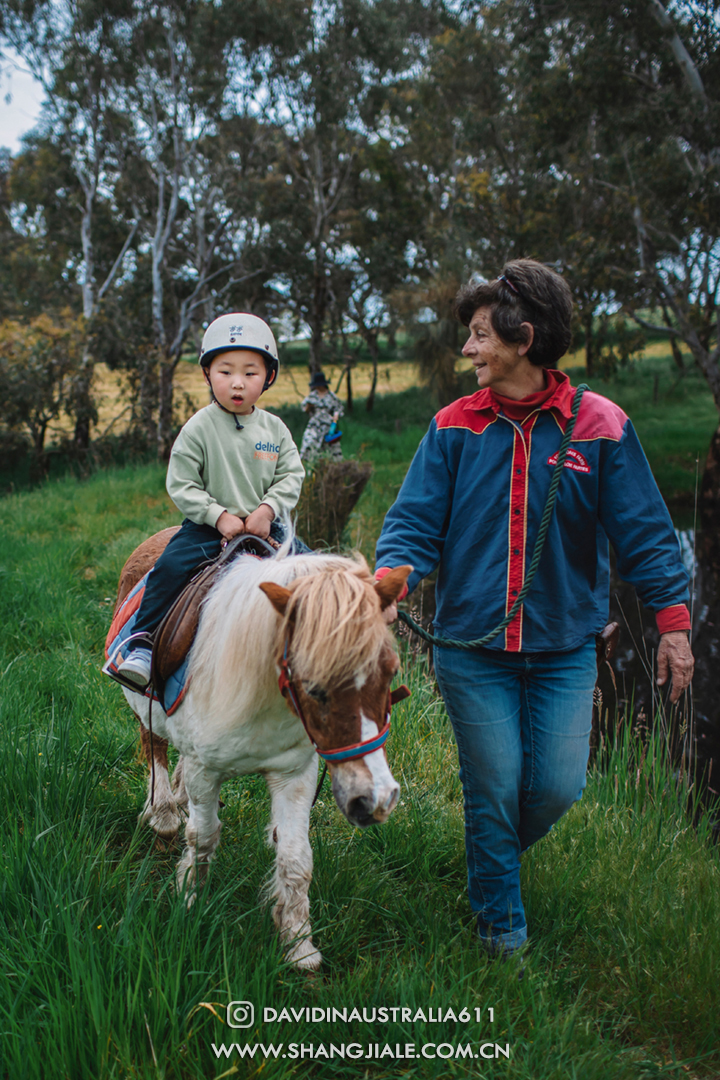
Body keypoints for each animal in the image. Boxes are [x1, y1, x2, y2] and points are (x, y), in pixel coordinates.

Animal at [111, 531, 410, 972]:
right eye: (313, 686)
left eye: (390, 671)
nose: (376, 799)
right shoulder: (206, 771)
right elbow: (203, 837)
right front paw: (188, 901)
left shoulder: (294, 775)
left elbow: (295, 857)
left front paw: (299, 944)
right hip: (142, 706)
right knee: (155, 746)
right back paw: (163, 811)